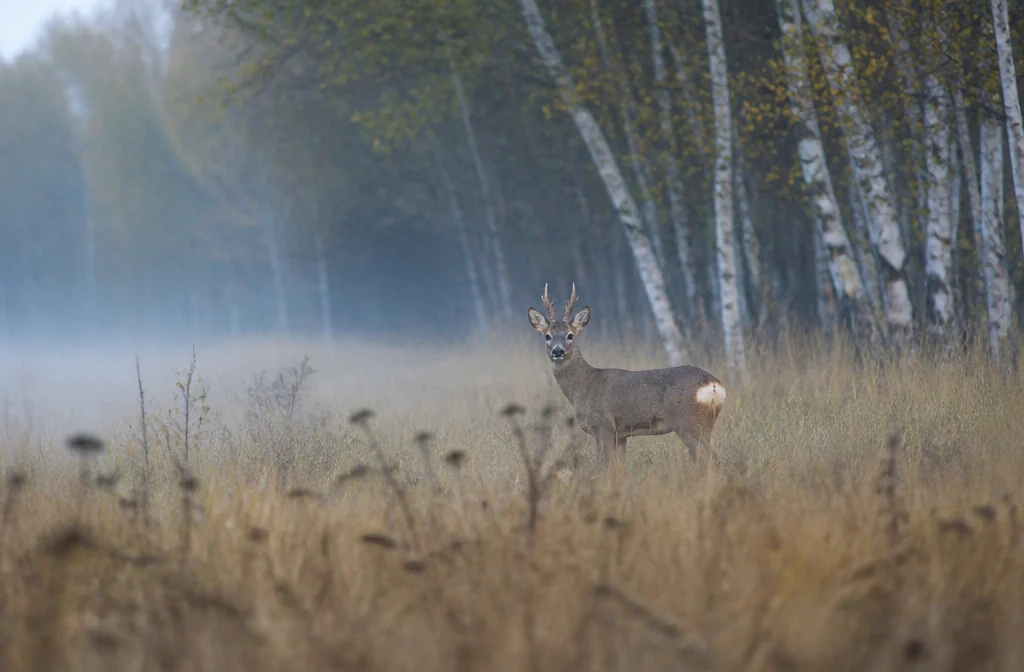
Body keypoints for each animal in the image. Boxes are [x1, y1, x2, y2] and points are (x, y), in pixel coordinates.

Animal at [527, 283, 726, 469]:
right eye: (547, 336)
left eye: (570, 335)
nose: (558, 351)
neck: (582, 387)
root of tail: (713, 384)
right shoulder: (621, 433)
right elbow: (620, 469)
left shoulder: (603, 425)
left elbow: (604, 466)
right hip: (708, 422)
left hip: (686, 421)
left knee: (711, 459)